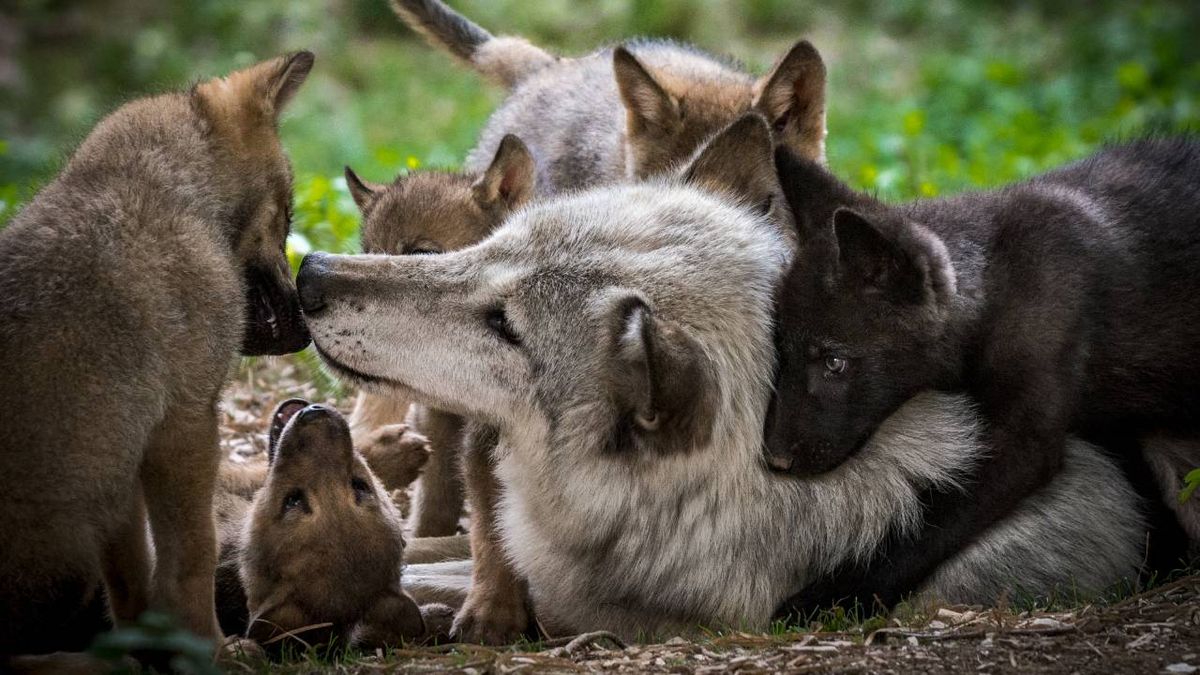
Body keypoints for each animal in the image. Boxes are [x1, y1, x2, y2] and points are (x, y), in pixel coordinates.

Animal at [0, 52, 314, 657]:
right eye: (286, 216)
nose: (307, 329)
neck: (164, 191)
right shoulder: (186, 425)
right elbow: (192, 559)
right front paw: (211, 651)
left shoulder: (125, 460)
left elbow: (133, 579)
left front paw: (151, 646)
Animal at [763, 140, 1200, 614]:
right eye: (781, 352)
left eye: (833, 362)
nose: (774, 460)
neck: (997, 291)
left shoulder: (1021, 446)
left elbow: (920, 536)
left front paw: (824, 600)